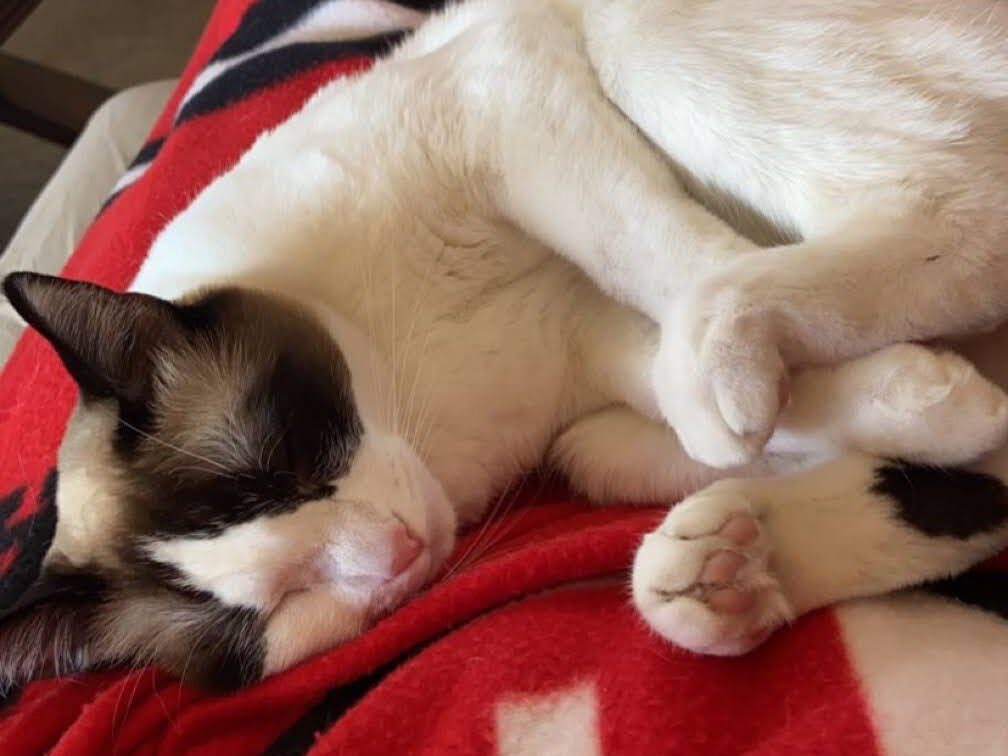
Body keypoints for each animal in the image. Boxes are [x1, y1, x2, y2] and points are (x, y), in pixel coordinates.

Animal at [1, 0, 1008, 689]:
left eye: (288, 465)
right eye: (276, 611)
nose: (398, 554)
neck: (420, 391)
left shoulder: (502, 95)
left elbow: (661, 263)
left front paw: (921, 404)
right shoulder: (586, 346)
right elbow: (698, 412)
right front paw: (919, 408)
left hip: (633, 31)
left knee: (957, 218)